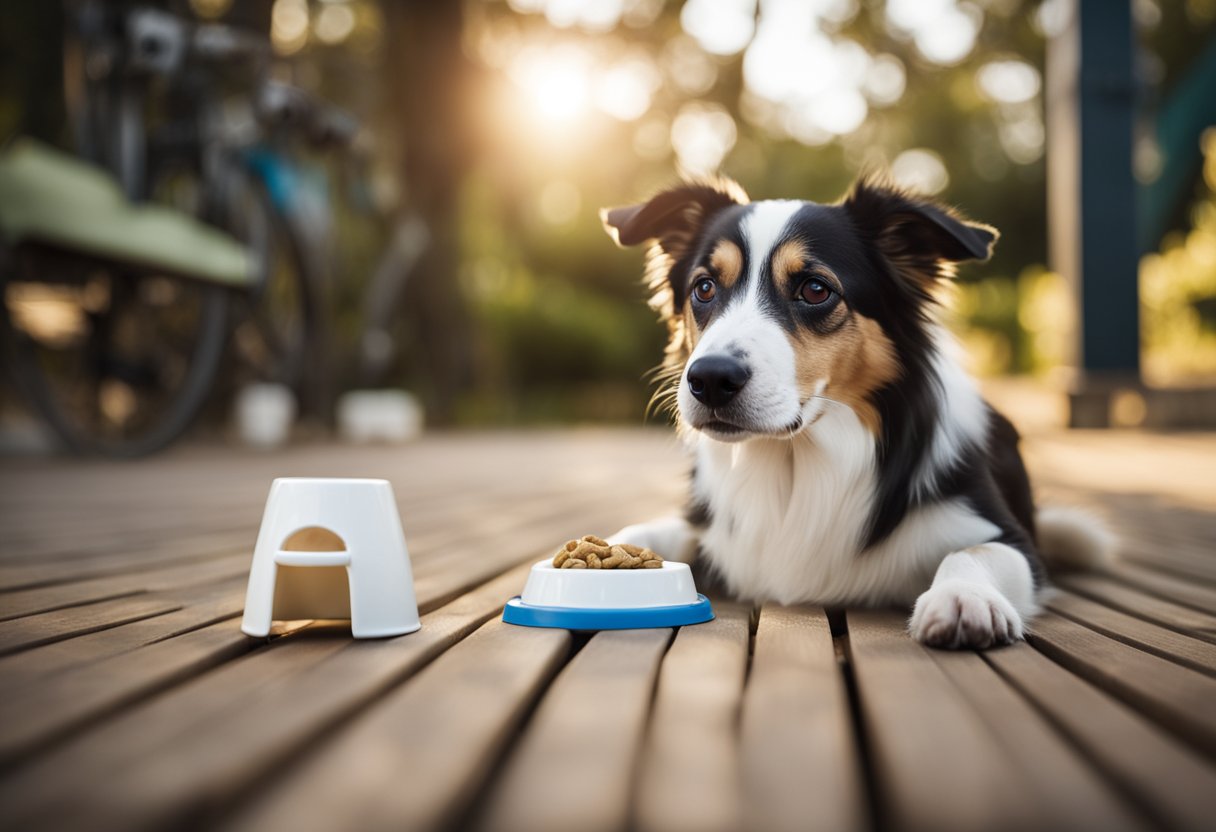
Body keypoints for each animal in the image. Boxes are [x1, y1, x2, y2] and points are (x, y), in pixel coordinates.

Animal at [598, 172, 1113, 647]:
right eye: (704, 287)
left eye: (815, 289)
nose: (708, 380)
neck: (796, 460)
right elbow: (640, 533)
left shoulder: (1012, 540)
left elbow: (975, 552)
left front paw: (963, 598)